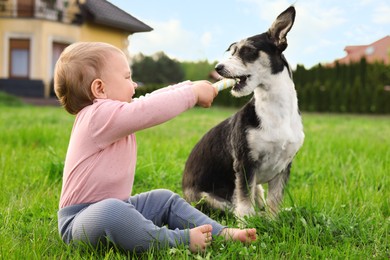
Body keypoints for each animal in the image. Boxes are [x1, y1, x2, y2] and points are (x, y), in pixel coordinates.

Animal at [183, 5, 304, 219]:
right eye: (231, 51)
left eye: (248, 50)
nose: (218, 67)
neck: (276, 113)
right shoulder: (245, 164)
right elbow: (245, 204)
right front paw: (248, 224)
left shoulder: (283, 168)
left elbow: (274, 201)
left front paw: (274, 221)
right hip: (209, 199)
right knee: (234, 207)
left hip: (258, 188)